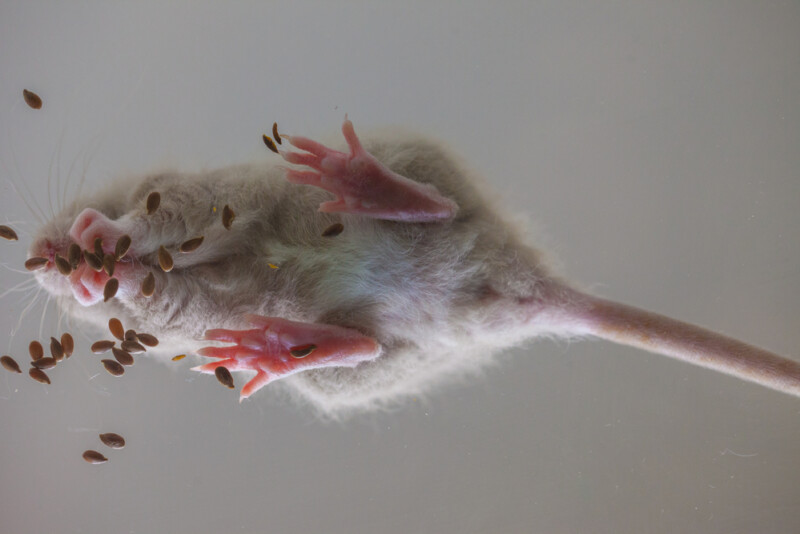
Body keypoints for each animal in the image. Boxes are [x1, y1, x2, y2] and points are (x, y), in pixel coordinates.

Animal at [26, 118, 800, 415]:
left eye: (92, 198)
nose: (36, 259)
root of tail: (515, 293)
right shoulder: (178, 310)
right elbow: (161, 295)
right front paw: (96, 277)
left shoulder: (202, 200)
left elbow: (161, 221)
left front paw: (100, 241)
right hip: (361, 374)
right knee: (363, 344)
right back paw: (273, 346)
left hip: (418, 168)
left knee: (436, 207)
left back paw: (365, 184)